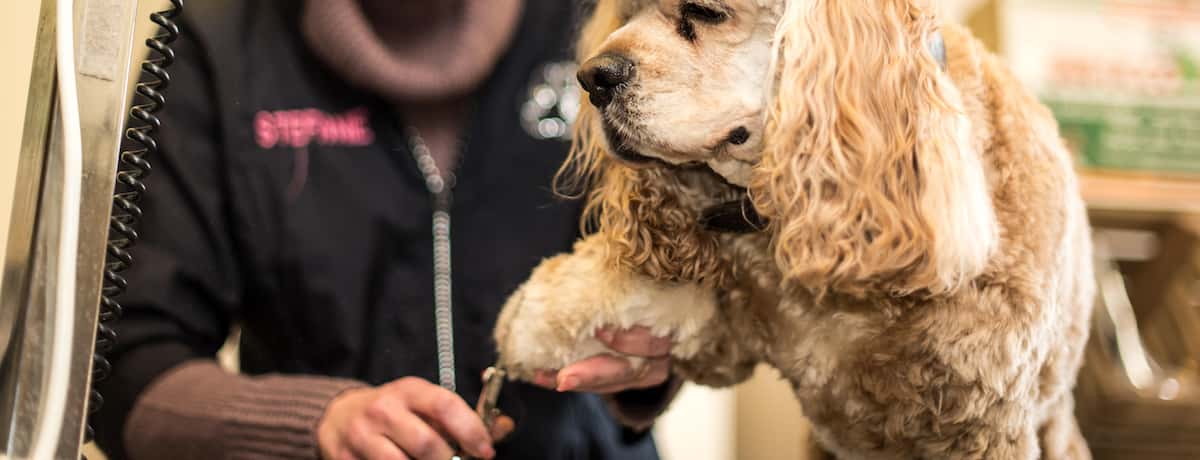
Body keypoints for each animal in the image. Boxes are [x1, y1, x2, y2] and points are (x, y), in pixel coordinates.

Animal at [489, 1, 1099, 458]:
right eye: (625, 12)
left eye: (704, 12)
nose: (592, 78)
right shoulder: (736, 320)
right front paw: (535, 316)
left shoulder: (980, 424)